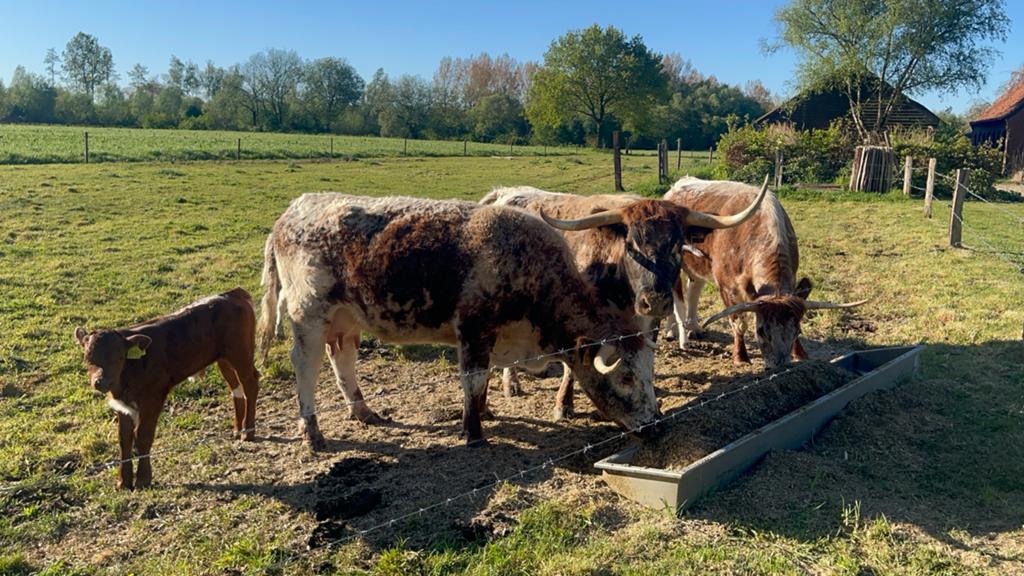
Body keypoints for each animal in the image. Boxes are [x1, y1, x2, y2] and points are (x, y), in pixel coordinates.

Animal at [73, 288, 260, 489]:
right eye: (88, 359)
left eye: (119, 358)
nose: (100, 382)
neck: (130, 371)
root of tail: (232, 294)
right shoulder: (123, 405)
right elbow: (124, 439)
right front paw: (123, 482)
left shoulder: (153, 397)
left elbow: (143, 436)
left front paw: (143, 480)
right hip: (224, 359)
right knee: (236, 388)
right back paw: (237, 429)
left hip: (241, 353)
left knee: (250, 383)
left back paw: (248, 432)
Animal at [257, 193, 663, 450]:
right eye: (626, 378)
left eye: (648, 375)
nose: (655, 426)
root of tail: (294, 210)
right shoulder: (473, 332)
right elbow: (474, 379)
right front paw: (474, 431)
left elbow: (483, 382)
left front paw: (485, 411)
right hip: (308, 316)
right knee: (306, 367)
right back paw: (312, 432)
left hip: (346, 320)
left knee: (342, 360)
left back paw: (363, 411)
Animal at [479, 180, 768, 419]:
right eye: (630, 245)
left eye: (677, 246)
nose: (656, 301)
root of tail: (505, 193)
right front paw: (564, 405)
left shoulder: (647, 325)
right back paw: (511, 383)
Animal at [663, 177, 867, 368]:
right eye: (761, 331)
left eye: (797, 331)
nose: (779, 365)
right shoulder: (727, 288)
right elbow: (739, 323)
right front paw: (741, 357)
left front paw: (800, 354)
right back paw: (672, 332)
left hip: (698, 268)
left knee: (694, 290)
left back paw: (694, 327)